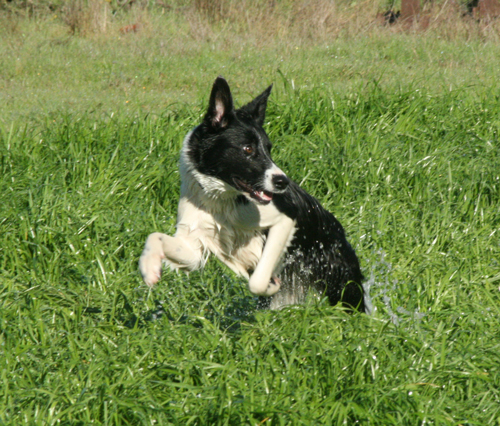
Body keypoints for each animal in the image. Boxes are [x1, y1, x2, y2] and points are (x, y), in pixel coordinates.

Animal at [139, 77, 365, 312]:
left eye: (269, 148)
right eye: (247, 149)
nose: (282, 181)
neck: (222, 201)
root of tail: (339, 231)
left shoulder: (285, 220)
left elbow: (257, 281)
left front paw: (270, 284)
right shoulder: (194, 245)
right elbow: (154, 236)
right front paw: (149, 267)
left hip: (341, 282)